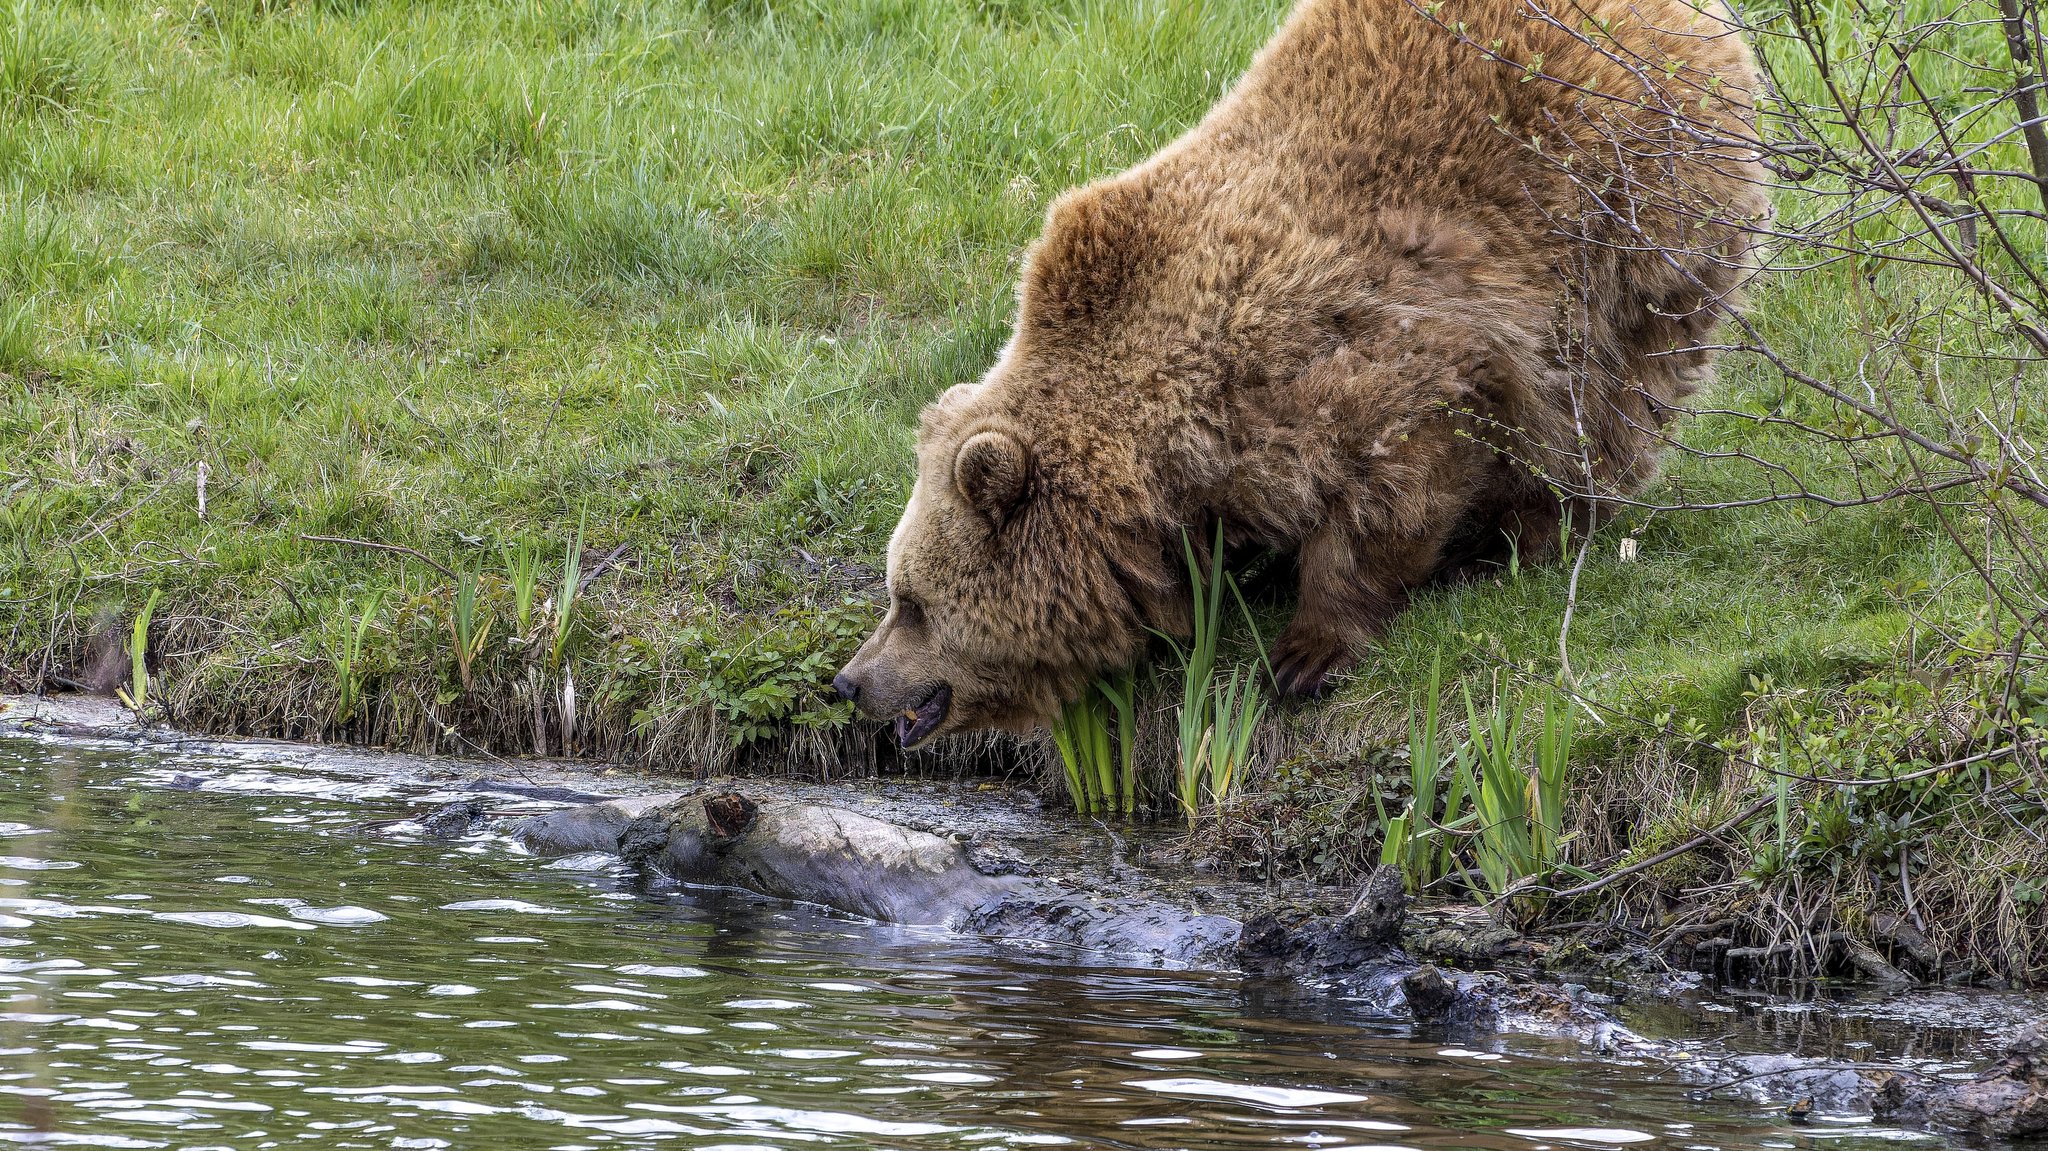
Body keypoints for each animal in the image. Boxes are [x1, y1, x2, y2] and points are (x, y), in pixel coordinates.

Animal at [831, 0, 1761, 745]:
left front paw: (1306, 651)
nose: (849, 681)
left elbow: (1393, 489)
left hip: (1625, 216)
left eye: (913, 601)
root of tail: (1704, 18)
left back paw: (1526, 535)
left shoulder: (1360, 358)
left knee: (1602, 398)